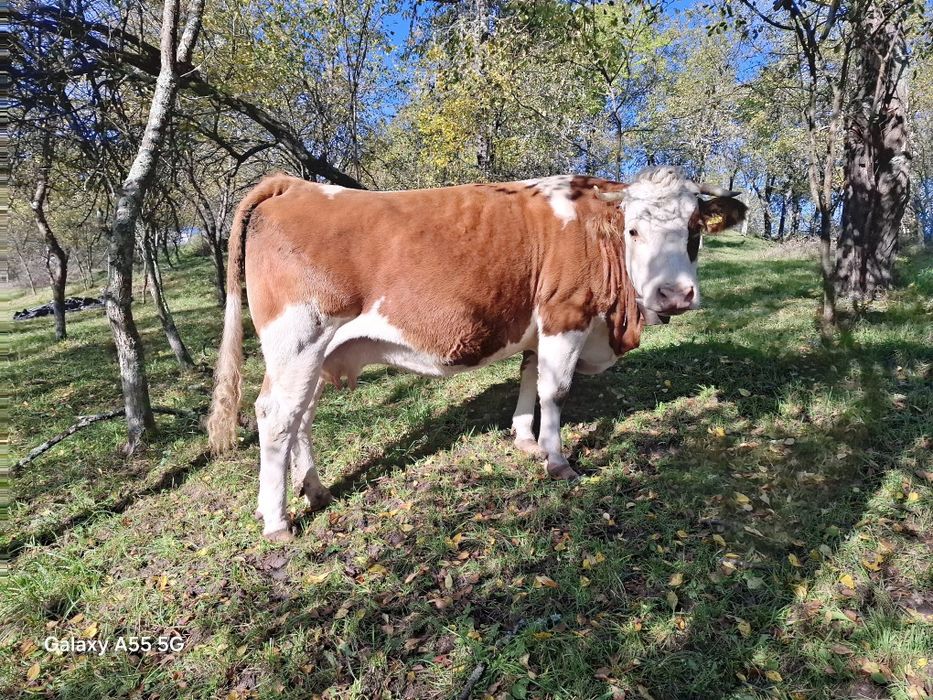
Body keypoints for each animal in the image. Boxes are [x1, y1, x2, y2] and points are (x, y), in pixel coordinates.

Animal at [207, 166, 747, 540]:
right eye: (633, 230)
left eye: (694, 230)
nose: (673, 295)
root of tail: (294, 185)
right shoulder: (565, 314)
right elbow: (556, 390)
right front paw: (557, 460)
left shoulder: (538, 328)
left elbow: (529, 377)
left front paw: (525, 440)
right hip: (299, 339)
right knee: (277, 416)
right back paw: (276, 520)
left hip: (312, 355)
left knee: (301, 415)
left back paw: (314, 489)